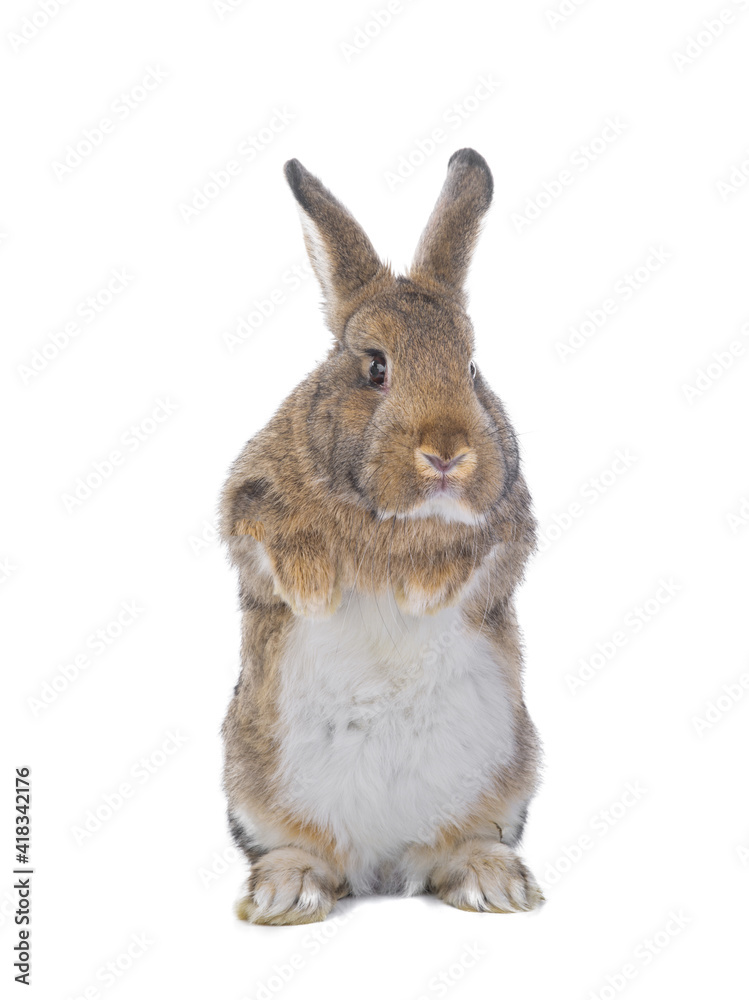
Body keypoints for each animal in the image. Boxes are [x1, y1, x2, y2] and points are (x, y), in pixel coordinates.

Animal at [219, 150, 540, 928]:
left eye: (471, 367)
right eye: (375, 367)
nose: (448, 454)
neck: (389, 520)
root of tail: (385, 863)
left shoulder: (509, 530)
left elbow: (468, 556)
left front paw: (418, 590)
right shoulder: (246, 511)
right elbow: (281, 543)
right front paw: (316, 591)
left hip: (506, 785)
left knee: (456, 848)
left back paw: (492, 881)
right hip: (252, 788)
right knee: (304, 851)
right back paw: (286, 893)